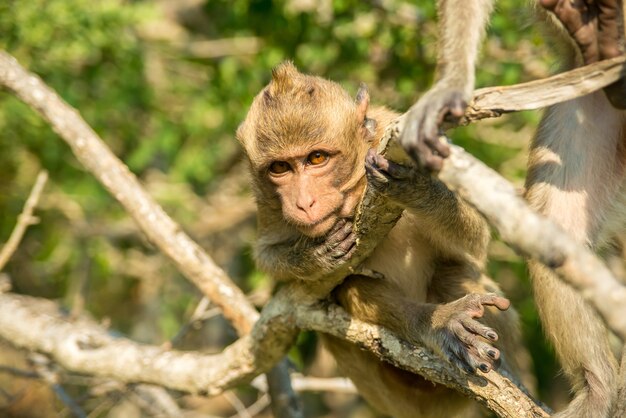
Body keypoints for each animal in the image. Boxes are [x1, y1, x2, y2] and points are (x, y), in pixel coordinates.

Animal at [236, 62, 524, 418]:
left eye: (317, 159)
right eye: (279, 167)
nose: (303, 203)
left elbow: (476, 240)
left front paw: (417, 189)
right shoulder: (267, 200)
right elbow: (267, 255)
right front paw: (314, 254)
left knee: (453, 270)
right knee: (348, 287)